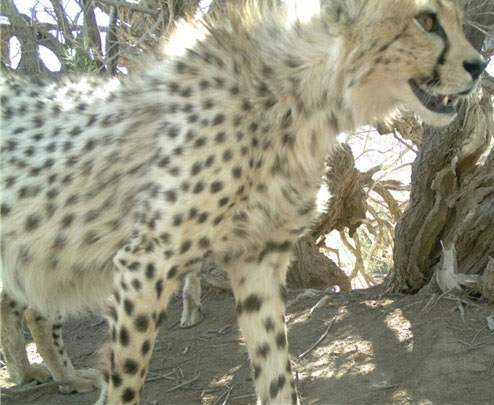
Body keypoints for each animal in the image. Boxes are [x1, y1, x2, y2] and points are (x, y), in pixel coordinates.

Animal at [0, 0, 486, 402]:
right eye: (426, 21)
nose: (479, 65)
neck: (305, 99)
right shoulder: (144, 264)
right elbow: (124, 384)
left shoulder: (258, 261)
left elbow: (277, 373)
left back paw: (53, 376)